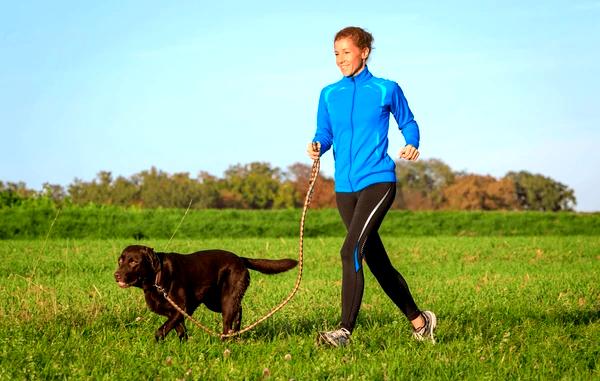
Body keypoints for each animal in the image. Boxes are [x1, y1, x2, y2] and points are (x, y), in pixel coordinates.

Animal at [113, 245, 296, 340]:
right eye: (120, 260)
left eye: (134, 262)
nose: (116, 275)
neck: (157, 277)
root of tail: (240, 259)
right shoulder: (174, 312)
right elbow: (180, 329)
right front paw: (183, 345)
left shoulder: (182, 308)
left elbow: (161, 330)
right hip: (214, 302)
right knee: (239, 310)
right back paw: (236, 334)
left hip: (226, 300)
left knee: (229, 321)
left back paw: (226, 343)